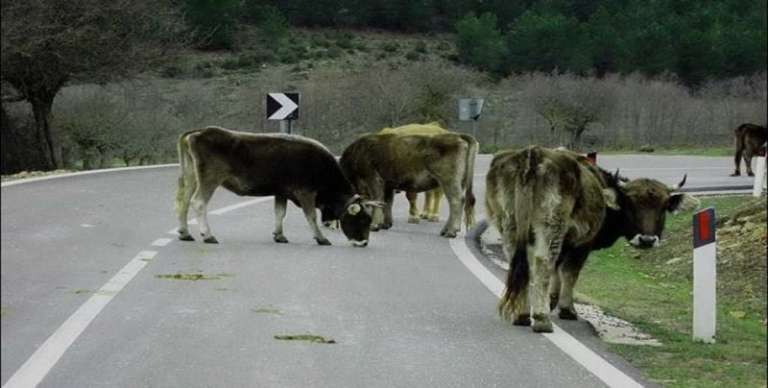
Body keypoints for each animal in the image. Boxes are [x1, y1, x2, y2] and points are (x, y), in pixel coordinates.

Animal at [176, 127, 380, 249]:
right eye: (362, 219)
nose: (363, 243)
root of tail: (197, 132)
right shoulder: (305, 193)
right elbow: (311, 216)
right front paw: (321, 238)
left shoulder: (281, 192)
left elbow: (280, 213)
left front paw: (279, 235)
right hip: (210, 179)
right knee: (198, 202)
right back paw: (208, 235)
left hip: (190, 177)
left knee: (183, 202)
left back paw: (185, 233)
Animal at [340, 132, 476, 238]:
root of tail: (457, 135)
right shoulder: (388, 185)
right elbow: (387, 202)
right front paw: (385, 224)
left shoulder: (373, 179)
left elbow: (377, 200)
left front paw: (374, 225)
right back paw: (445, 230)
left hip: (448, 181)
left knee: (456, 201)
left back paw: (451, 232)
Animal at [488, 147, 700, 332]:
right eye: (631, 204)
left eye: (663, 207)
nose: (647, 240)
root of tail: (532, 154)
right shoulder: (582, 245)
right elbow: (569, 272)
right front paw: (567, 309)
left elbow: (557, 270)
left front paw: (552, 299)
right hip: (550, 226)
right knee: (543, 262)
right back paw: (541, 320)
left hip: (509, 226)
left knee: (518, 263)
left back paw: (522, 315)